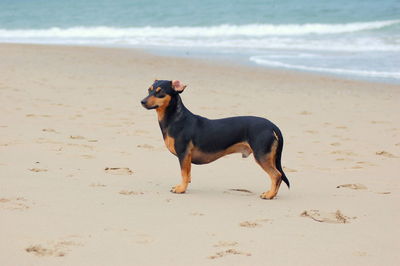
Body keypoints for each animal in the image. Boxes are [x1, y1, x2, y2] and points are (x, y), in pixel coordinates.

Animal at [142, 79, 290, 200]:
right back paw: (273, 194)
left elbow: (184, 174)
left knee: (276, 175)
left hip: (262, 156)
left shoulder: (183, 154)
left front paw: (181, 189)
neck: (176, 119)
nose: (142, 101)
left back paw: (269, 195)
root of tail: (271, 125)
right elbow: (188, 175)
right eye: (149, 90)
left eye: (160, 92)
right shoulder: (187, 158)